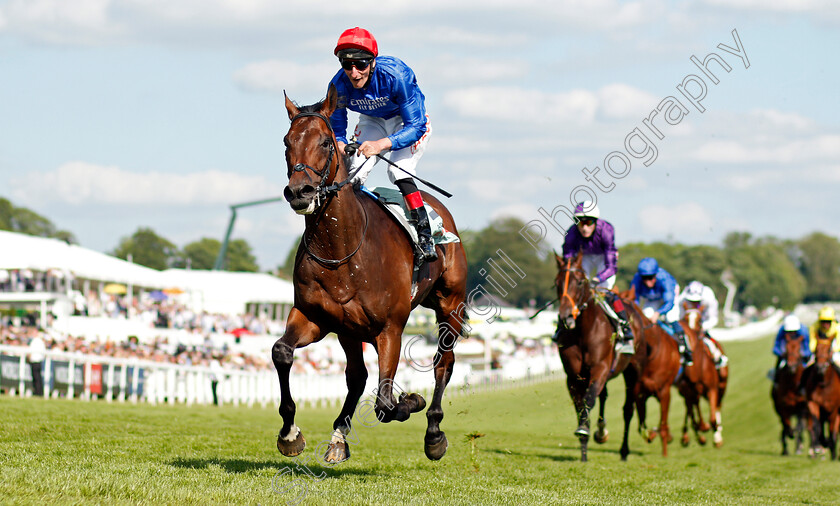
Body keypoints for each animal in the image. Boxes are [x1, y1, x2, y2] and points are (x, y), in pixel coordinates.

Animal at [278, 87, 470, 462]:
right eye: (286, 141)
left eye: (326, 142)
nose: (299, 192)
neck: (342, 249)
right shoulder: (315, 317)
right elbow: (283, 352)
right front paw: (290, 434)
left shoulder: (390, 328)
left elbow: (384, 402)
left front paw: (412, 400)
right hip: (349, 330)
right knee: (357, 375)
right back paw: (339, 436)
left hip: (450, 306)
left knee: (444, 362)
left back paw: (434, 433)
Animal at [676, 304, 720, 446]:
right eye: (685, 318)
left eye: (700, 320)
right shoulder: (688, 390)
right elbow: (693, 410)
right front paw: (702, 428)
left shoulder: (712, 388)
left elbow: (713, 419)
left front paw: (714, 429)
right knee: (691, 409)